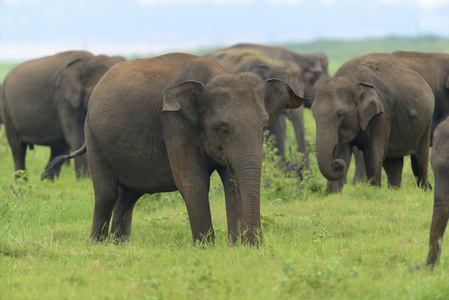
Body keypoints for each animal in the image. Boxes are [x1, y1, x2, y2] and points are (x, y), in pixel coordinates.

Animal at [1, 51, 124, 180]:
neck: (89, 62)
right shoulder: (64, 98)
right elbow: (76, 136)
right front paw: (84, 180)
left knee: (58, 148)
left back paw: (46, 181)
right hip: (6, 106)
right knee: (17, 147)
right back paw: (22, 182)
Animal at [43, 53, 306, 246]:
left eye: (264, 126)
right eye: (223, 128)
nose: (256, 243)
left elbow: (233, 182)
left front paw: (235, 247)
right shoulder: (173, 122)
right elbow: (193, 182)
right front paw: (207, 248)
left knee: (128, 195)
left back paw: (119, 245)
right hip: (93, 133)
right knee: (107, 192)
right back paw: (97, 245)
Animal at [312, 53, 434, 192]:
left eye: (340, 114)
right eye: (313, 114)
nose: (335, 163)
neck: (352, 81)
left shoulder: (382, 114)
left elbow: (373, 152)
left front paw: (374, 191)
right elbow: (342, 152)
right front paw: (333, 194)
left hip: (426, 124)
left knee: (419, 163)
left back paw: (426, 190)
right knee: (393, 164)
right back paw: (394, 191)